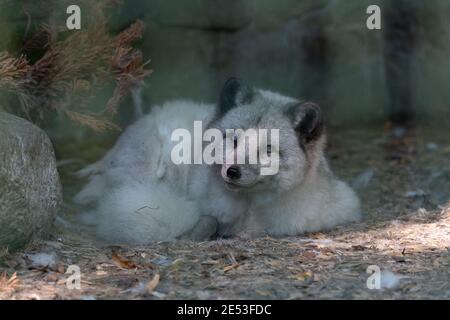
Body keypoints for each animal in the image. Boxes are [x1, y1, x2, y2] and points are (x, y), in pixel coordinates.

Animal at [75, 79, 360, 244]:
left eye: (268, 149)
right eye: (233, 140)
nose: (232, 171)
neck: (251, 210)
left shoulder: (339, 208)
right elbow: (207, 218)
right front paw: (202, 230)